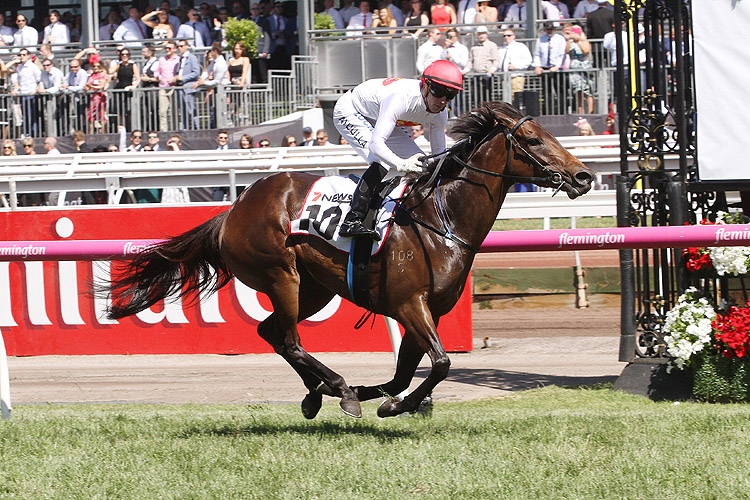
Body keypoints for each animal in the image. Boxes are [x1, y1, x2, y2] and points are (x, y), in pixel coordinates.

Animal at [104, 101, 592, 418]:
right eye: (532, 139)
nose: (583, 176)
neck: (441, 219)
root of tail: (234, 209)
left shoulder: (427, 311)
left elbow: (408, 373)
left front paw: (389, 398)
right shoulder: (409, 305)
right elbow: (441, 364)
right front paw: (388, 402)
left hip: (315, 288)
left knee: (272, 333)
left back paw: (319, 393)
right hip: (281, 275)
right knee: (290, 339)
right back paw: (335, 388)